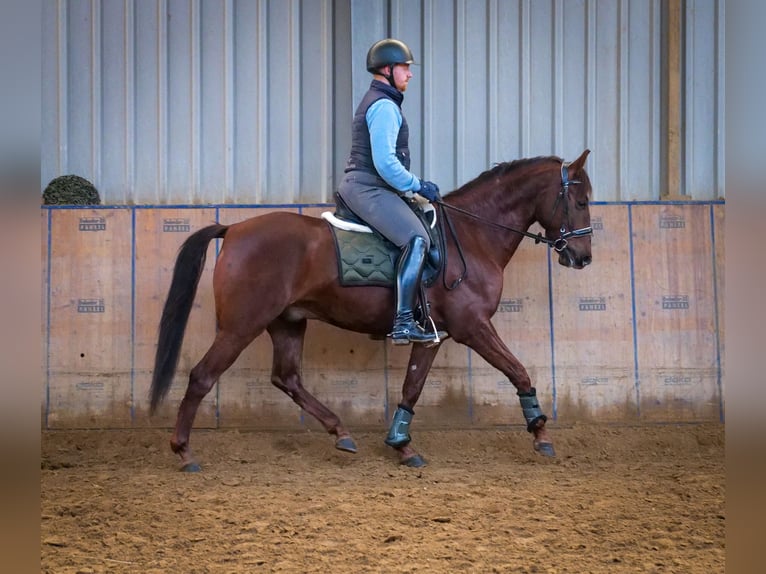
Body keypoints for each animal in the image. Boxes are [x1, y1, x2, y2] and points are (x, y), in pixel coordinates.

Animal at [148, 150, 592, 472]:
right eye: (580, 200)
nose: (583, 257)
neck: (472, 235)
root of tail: (234, 229)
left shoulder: (433, 336)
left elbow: (412, 387)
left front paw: (402, 445)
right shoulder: (473, 327)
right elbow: (518, 370)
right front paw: (540, 432)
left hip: (287, 322)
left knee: (287, 378)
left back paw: (341, 432)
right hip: (242, 326)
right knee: (203, 377)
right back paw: (184, 452)